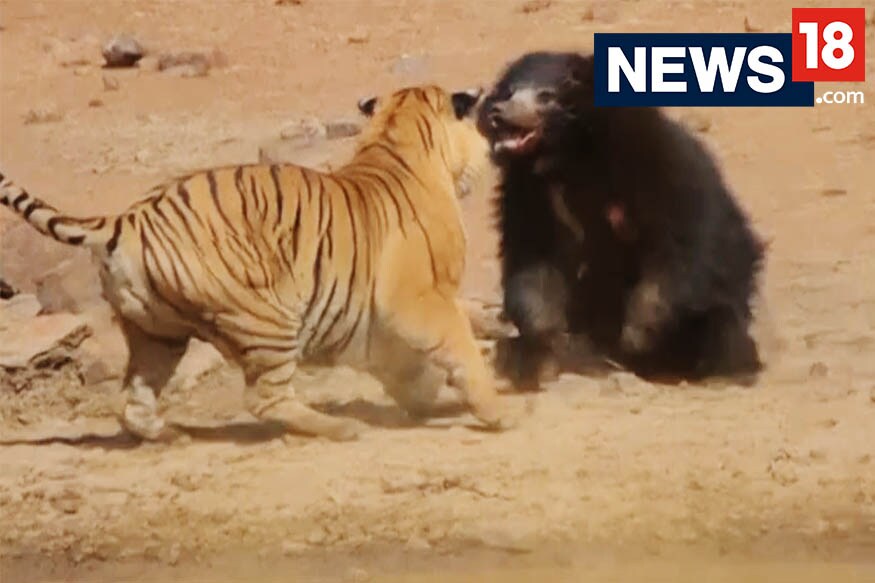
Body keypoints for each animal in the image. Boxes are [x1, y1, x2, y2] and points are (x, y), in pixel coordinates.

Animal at [0, 84, 518, 442]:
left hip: (155, 333)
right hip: (267, 318)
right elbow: (457, 347)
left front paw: (496, 328)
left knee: (134, 401)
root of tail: (129, 218)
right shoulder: (412, 301)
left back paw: (167, 435)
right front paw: (494, 411)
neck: (394, 138)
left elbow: (433, 347)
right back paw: (338, 428)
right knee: (264, 399)